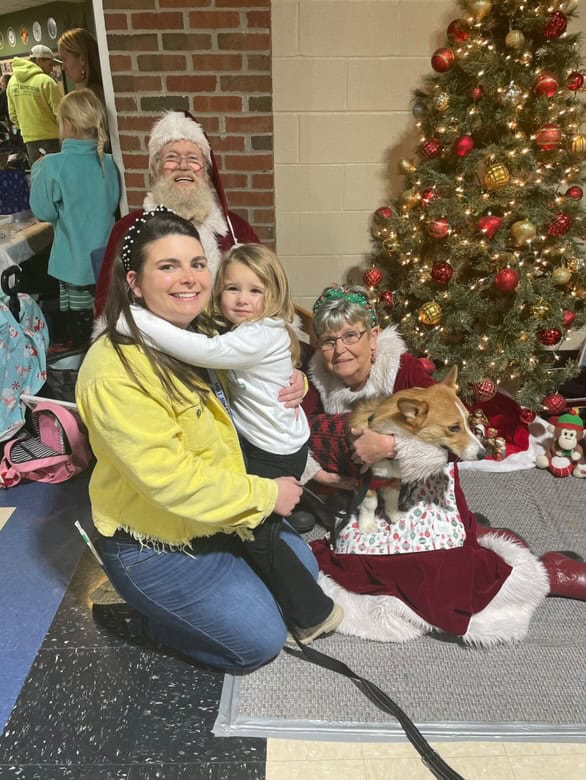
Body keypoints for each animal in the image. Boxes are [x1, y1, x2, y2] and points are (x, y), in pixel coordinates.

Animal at [346, 368, 484, 536]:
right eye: (453, 428)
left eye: (469, 421)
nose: (484, 454)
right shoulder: (365, 481)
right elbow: (370, 505)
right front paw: (367, 526)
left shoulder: (394, 481)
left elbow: (392, 501)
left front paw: (395, 516)